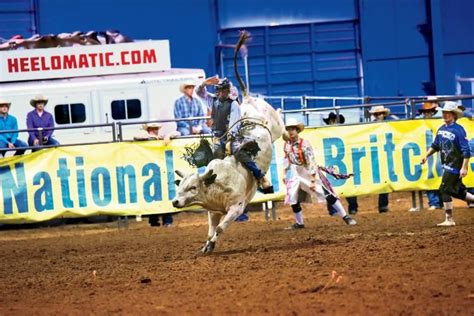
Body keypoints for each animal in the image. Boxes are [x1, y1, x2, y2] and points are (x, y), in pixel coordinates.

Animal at [173, 31, 286, 254]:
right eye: (180, 185)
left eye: (192, 187)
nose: (175, 201)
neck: (218, 183)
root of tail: (248, 98)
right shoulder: (214, 211)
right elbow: (211, 229)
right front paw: (207, 246)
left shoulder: (236, 208)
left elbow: (220, 229)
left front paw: (212, 244)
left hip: (276, 126)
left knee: (281, 122)